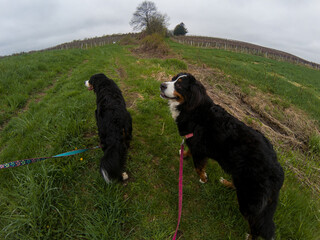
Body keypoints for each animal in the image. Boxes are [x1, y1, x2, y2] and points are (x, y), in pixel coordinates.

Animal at [161, 72, 284, 240]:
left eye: (179, 84)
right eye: (172, 78)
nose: (162, 85)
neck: (193, 109)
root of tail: (277, 170)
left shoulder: (199, 148)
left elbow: (198, 166)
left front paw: (203, 178)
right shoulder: (194, 143)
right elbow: (189, 151)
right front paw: (183, 154)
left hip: (249, 198)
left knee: (257, 224)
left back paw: (250, 236)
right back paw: (225, 182)